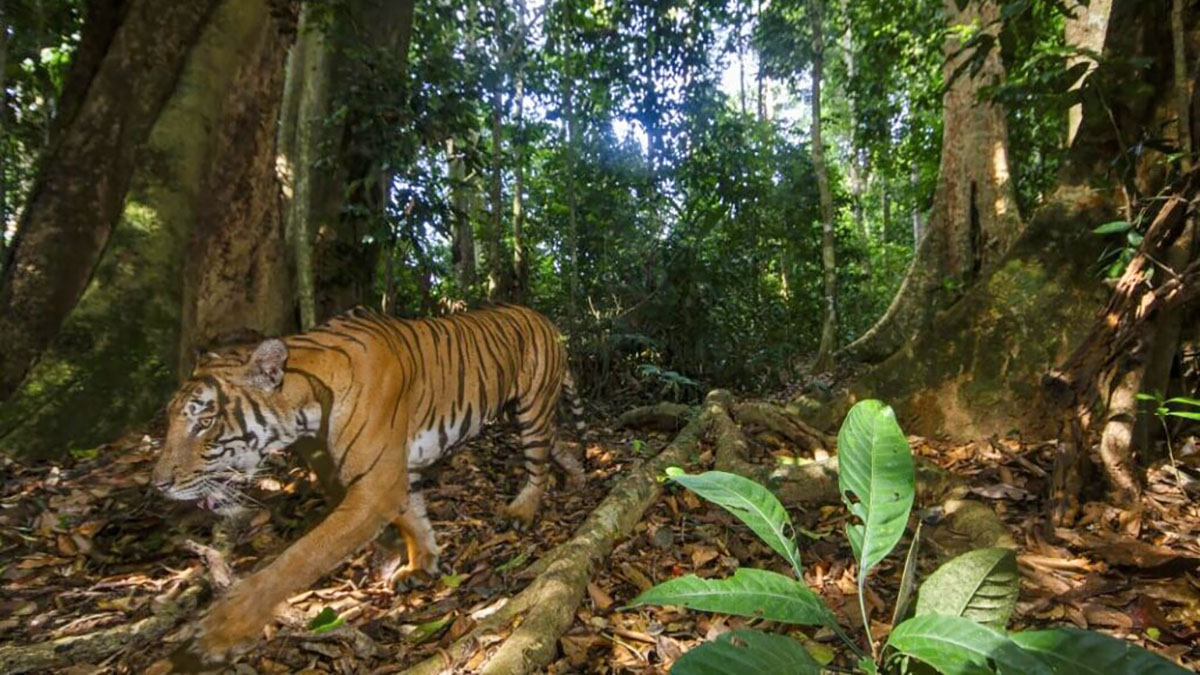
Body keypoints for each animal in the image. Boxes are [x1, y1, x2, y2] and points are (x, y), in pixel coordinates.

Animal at [151, 304, 587, 659]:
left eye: (205, 422)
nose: (158, 485)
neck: (305, 408)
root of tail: (543, 317)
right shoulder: (395, 473)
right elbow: (414, 519)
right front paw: (422, 565)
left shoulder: (376, 486)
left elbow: (299, 558)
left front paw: (224, 627)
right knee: (558, 445)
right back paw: (578, 473)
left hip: (531, 409)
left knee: (539, 466)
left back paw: (523, 510)